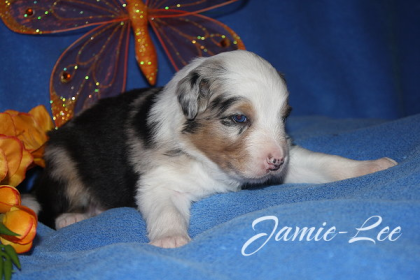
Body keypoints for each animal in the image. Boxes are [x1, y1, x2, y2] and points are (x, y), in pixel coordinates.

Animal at [33, 49, 398, 247]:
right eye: (238, 118)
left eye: (283, 117)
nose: (276, 161)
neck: (207, 160)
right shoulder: (158, 182)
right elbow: (165, 209)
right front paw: (170, 239)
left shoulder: (291, 158)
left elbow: (325, 162)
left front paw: (372, 166)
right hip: (61, 159)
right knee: (48, 206)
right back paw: (73, 217)